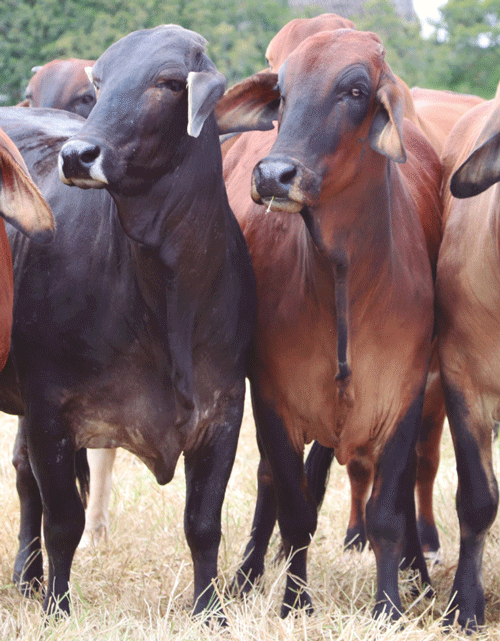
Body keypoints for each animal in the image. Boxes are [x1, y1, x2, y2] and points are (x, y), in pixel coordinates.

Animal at [0, 23, 256, 616]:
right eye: (100, 81)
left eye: (168, 82)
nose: (78, 154)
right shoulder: (50, 409)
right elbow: (64, 521)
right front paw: (58, 608)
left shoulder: (225, 409)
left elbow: (203, 524)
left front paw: (209, 611)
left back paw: (27, 578)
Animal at [219, 27, 442, 616]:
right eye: (282, 93)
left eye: (356, 90)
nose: (274, 175)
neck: (341, 272)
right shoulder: (272, 398)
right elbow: (295, 512)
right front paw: (295, 604)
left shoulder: (404, 396)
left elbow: (388, 514)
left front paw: (390, 606)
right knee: (272, 483)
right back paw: (245, 576)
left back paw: (420, 575)